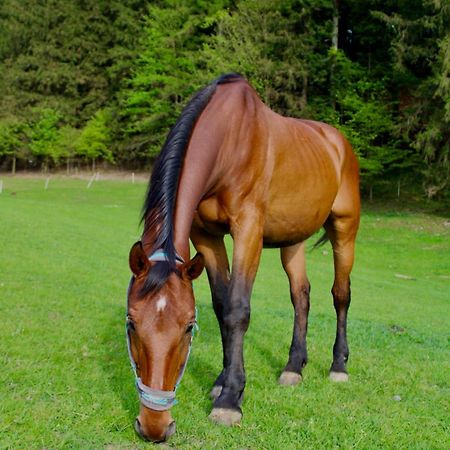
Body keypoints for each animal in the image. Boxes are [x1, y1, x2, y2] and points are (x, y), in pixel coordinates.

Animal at [125, 74, 360, 442]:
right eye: (131, 324)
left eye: (188, 327)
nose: (154, 426)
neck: (228, 140)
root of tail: (338, 143)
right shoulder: (205, 236)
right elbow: (222, 306)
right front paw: (221, 382)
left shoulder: (248, 229)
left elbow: (237, 309)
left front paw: (230, 400)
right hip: (294, 239)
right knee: (301, 295)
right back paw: (294, 367)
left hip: (345, 230)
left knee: (341, 295)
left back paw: (338, 366)